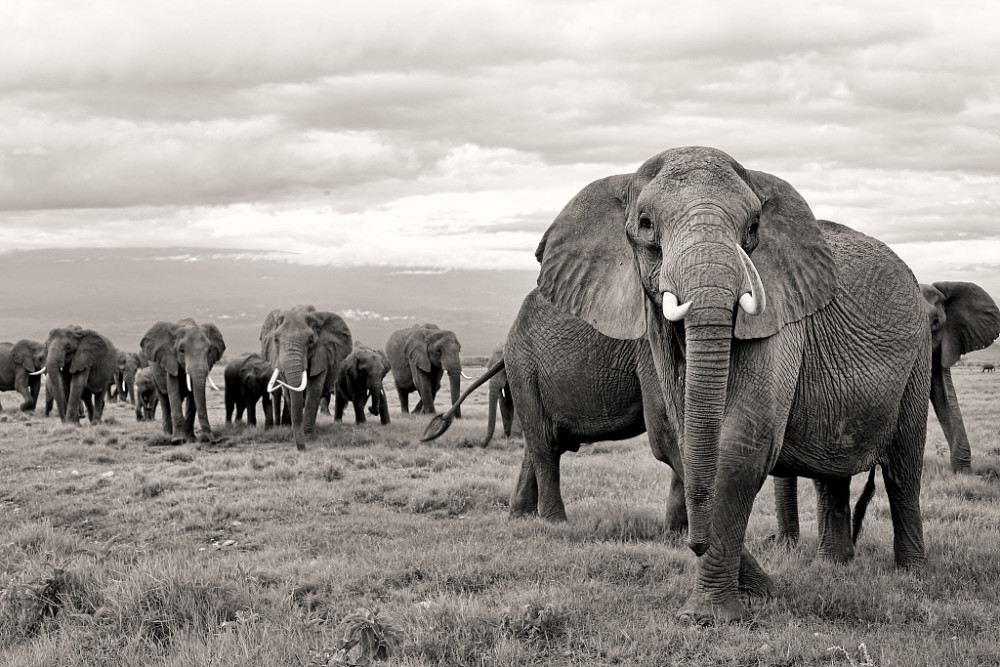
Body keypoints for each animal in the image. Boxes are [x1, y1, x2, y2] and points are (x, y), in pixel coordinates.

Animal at [260, 306, 354, 452]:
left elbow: (314, 390)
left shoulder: (321, 355)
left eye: (310, 341)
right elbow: (289, 392)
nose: (302, 449)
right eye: (276, 340)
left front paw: (309, 436)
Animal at [536, 146, 932, 628]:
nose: (695, 542)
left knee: (903, 470)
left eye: (753, 228)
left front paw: (709, 616)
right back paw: (833, 568)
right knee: (832, 476)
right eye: (646, 224)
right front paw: (763, 591)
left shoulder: (779, 309)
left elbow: (742, 441)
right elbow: (681, 444)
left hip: (919, 355)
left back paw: (912, 575)